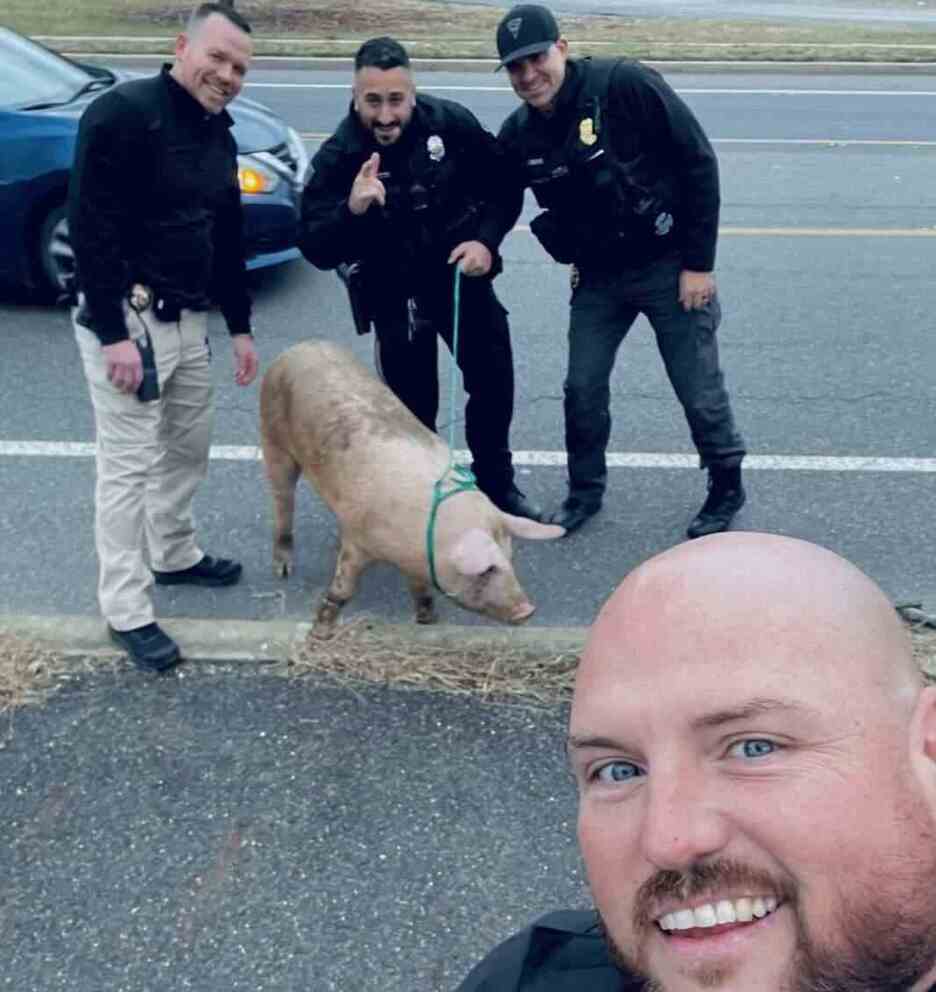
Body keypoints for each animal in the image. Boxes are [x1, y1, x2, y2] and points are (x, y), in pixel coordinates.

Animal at [258, 340, 564, 636]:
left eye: (509, 559)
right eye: (486, 570)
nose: (528, 610)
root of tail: (294, 350)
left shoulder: (415, 558)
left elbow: (420, 589)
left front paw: (429, 621)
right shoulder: (359, 543)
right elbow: (344, 588)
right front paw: (321, 631)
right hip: (272, 439)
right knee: (282, 501)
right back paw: (282, 569)